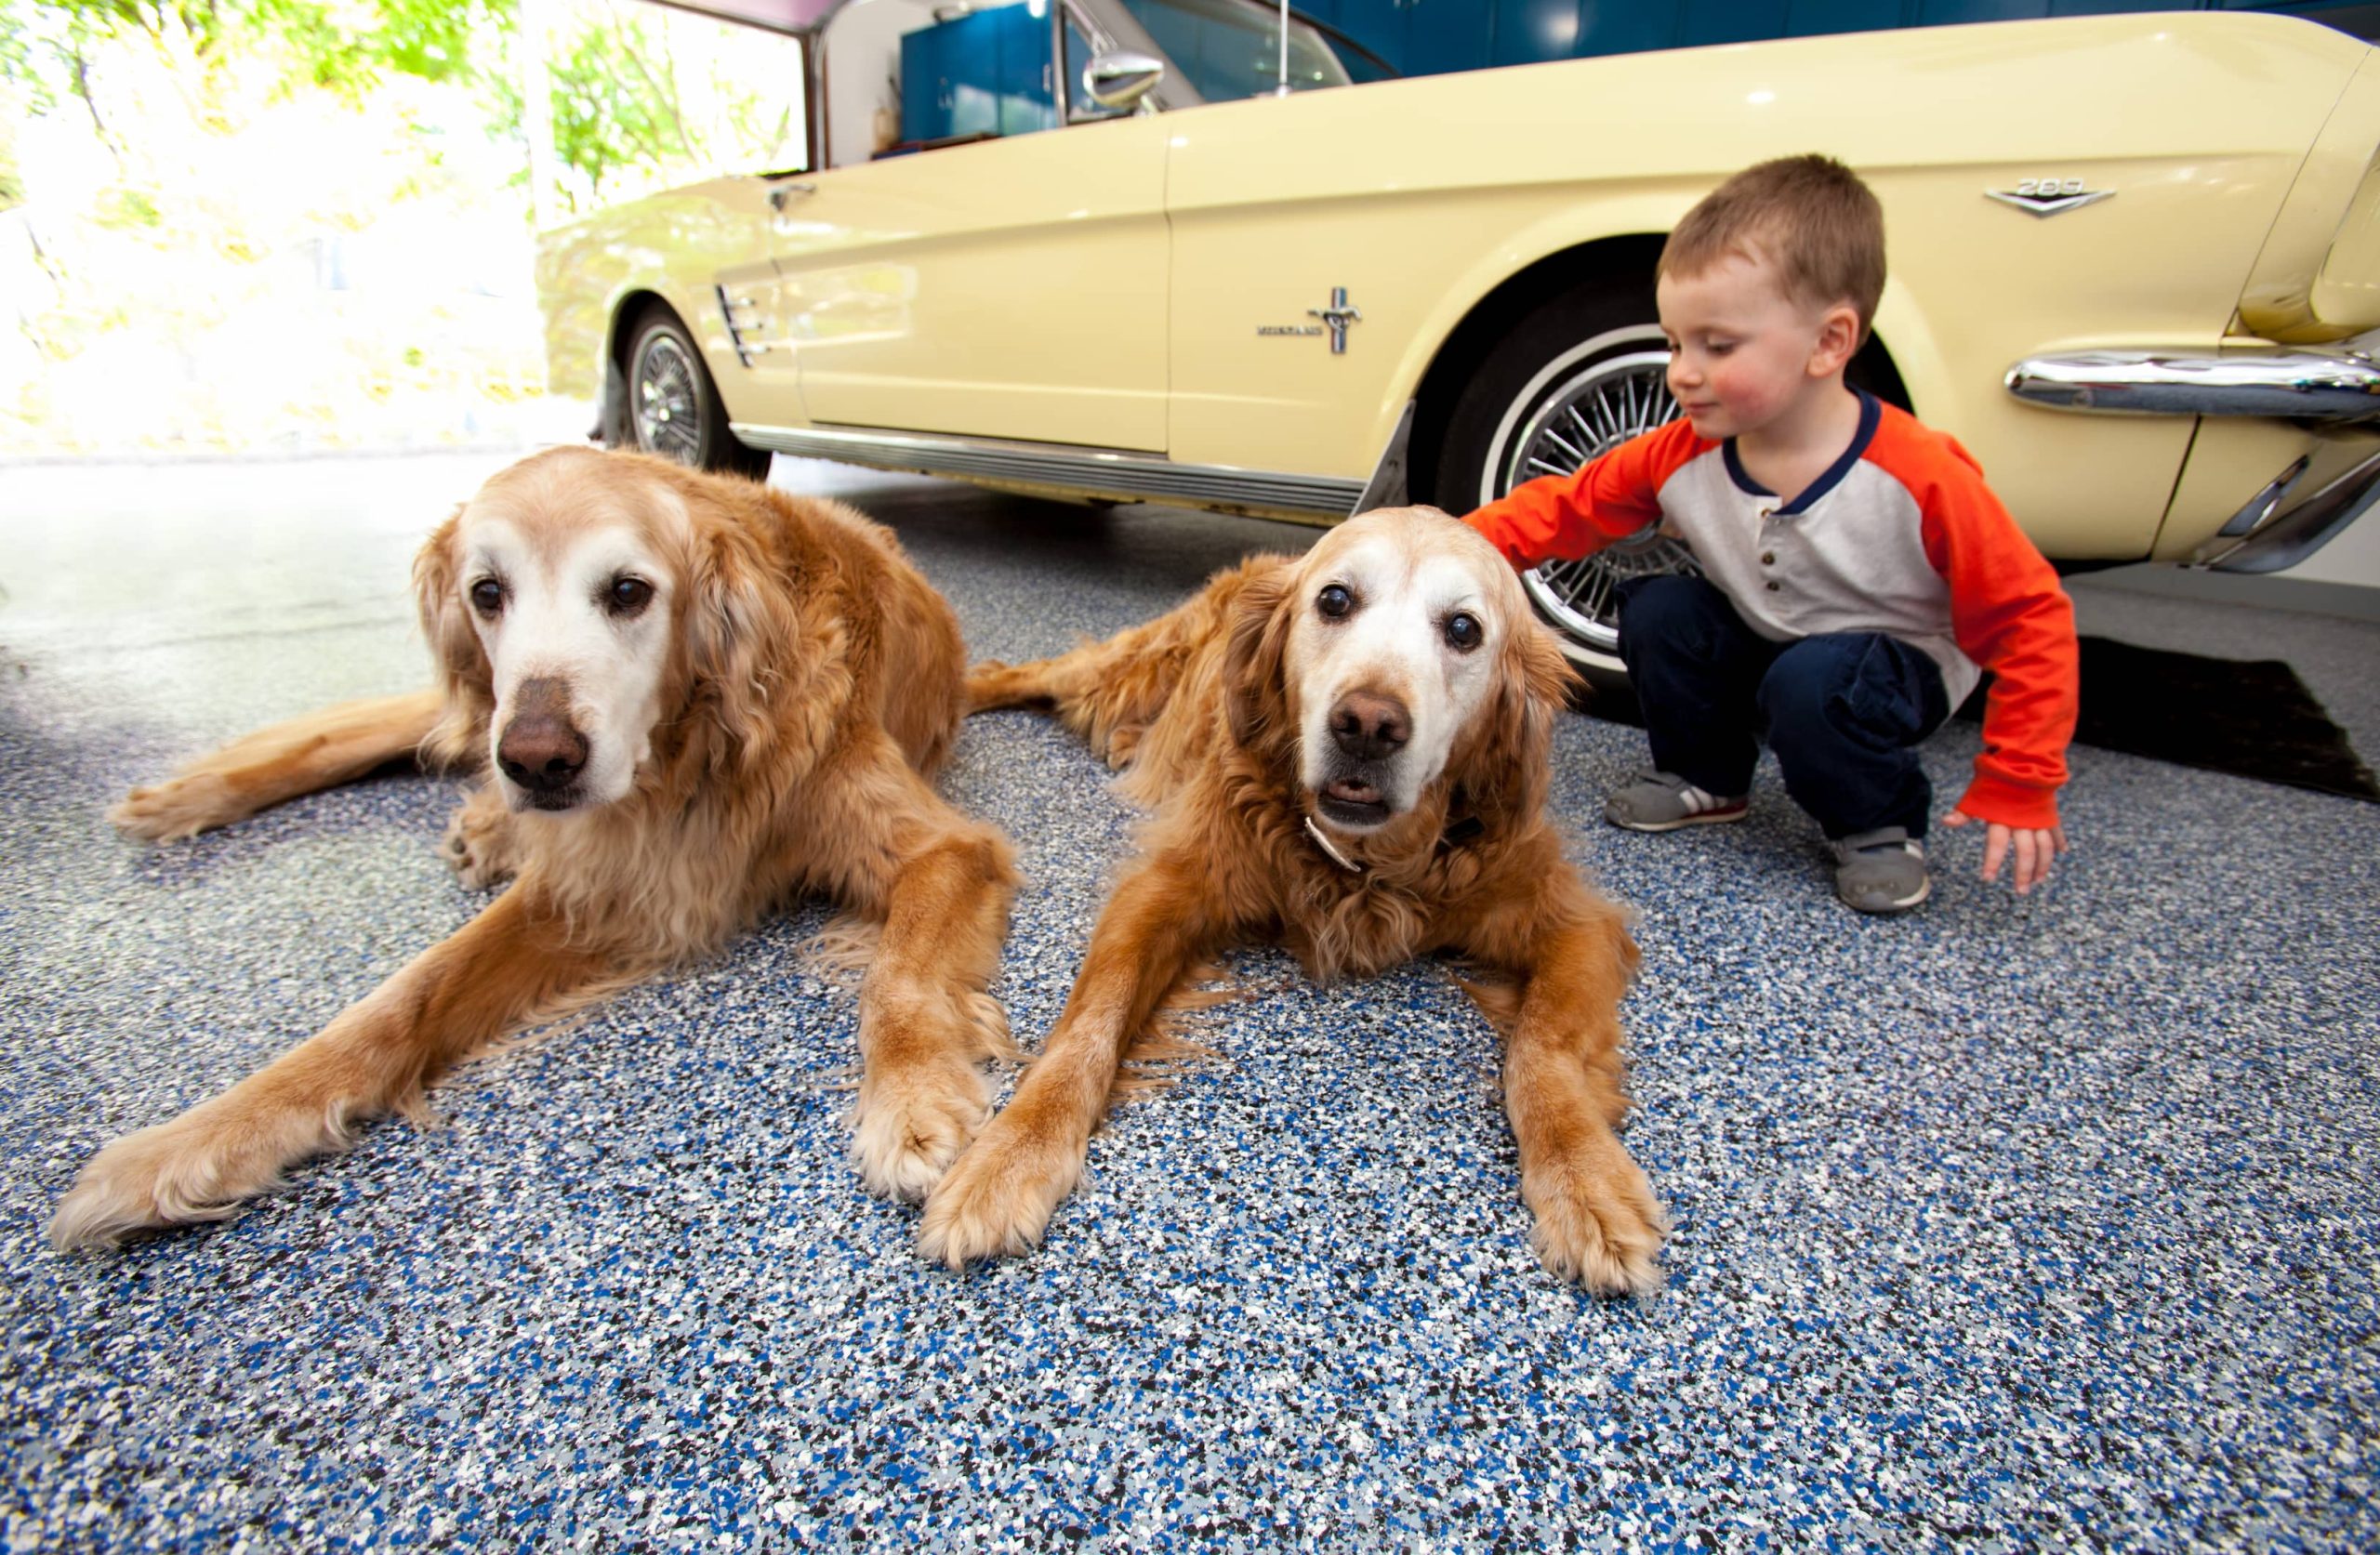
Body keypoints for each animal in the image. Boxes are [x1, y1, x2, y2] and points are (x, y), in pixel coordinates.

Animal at [48, 446, 1013, 1255]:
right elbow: (402, 998)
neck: (689, 758)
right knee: (384, 729)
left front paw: (912, 1100)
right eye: (488, 592)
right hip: (481, 708)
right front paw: (194, 1142)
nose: (540, 761)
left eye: (628, 591)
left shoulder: (944, 847)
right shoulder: (594, 876)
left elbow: (901, 975)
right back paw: (190, 796)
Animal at [919, 506, 1666, 1293]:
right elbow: (1091, 1021)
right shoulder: (1168, 884)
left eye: (1464, 629)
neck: (1364, 861)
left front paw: (1584, 1178)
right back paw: (963, 694)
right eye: (1335, 599)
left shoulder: (1573, 918)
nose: (1367, 723)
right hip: (1127, 666)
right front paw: (1010, 1155)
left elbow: (1543, 1049)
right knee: (1026, 673)